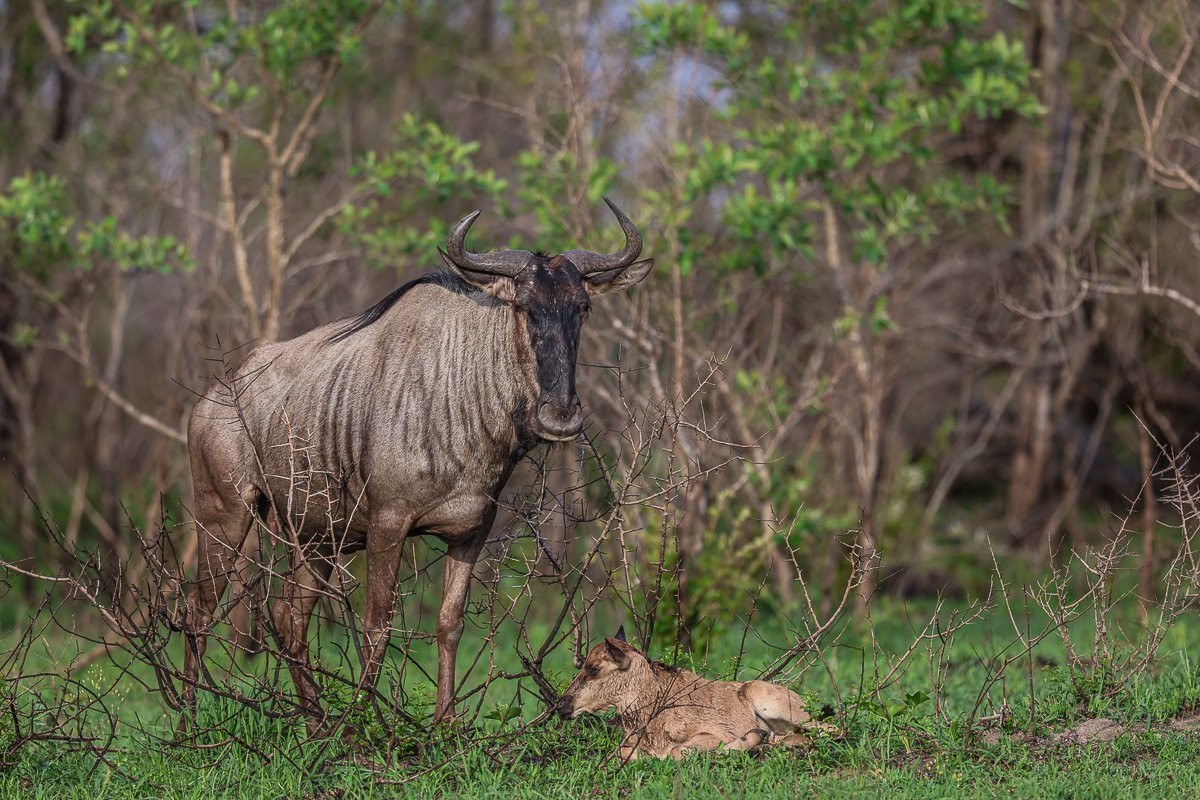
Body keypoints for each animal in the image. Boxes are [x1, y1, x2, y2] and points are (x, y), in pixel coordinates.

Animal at [182, 199, 653, 731]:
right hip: (224, 517)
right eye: (524, 307)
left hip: (316, 539)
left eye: (583, 307)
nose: (560, 415)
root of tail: (212, 398)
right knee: (198, 611)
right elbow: (377, 627)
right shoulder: (388, 526)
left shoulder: (471, 533)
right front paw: (365, 724)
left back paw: (316, 724)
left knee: (289, 619)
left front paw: (445, 725)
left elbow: (449, 624)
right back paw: (189, 725)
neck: (461, 392)